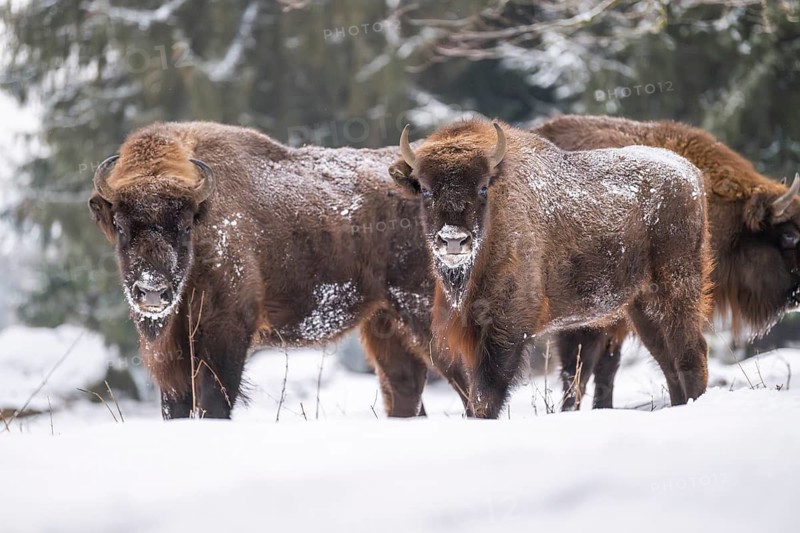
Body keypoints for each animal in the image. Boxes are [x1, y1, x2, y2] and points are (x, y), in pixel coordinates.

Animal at [390, 119, 711, 419]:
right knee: (667, 359)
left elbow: (485, 396)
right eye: (426, 190)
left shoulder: (507, 330)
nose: (454, 240)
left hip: (676, 288)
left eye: (482, 187)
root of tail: (692, 175)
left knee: (690, 353)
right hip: (642, 305)